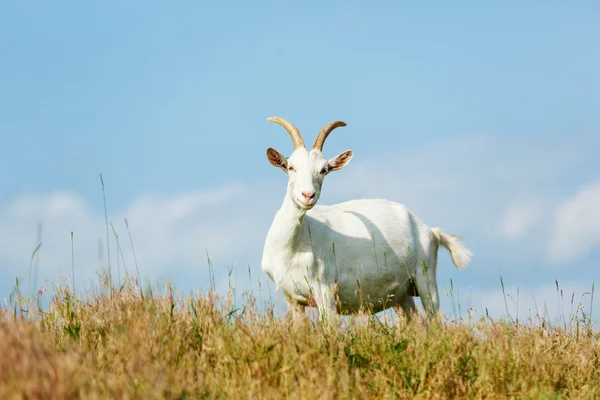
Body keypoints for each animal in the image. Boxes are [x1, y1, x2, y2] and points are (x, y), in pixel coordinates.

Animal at [258, 117, 474, 320]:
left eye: (324, 170)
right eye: (291, 167)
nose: (308, 195)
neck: (293, 246)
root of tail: (430, 230)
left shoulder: (326, 291)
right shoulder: (292, 299)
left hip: (425, 277)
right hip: (403, 293)